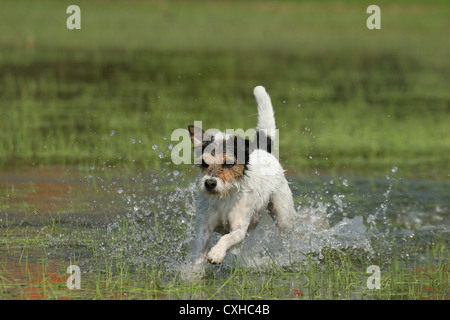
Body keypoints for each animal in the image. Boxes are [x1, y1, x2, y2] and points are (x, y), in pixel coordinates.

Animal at [185, 86, 296, 266]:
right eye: (204, 163)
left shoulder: (239, 228)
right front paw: (195, 269)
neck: (225, 196)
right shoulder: (204, 226)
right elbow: (200, 250)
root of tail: (262, 149)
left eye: (228, 164)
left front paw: (216, 253)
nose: (210, 183)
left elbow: (227, 238)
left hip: (283, 216)